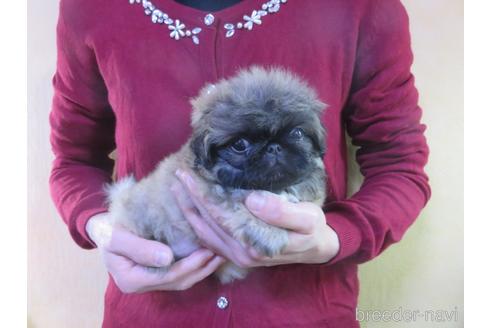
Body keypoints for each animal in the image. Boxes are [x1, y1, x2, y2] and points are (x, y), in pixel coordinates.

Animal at [109, 65, 328, 284]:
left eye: (297, 133)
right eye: (239, 144)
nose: (273, 147)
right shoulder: (217, 191)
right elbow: (242, 200)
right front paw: (270, 233)